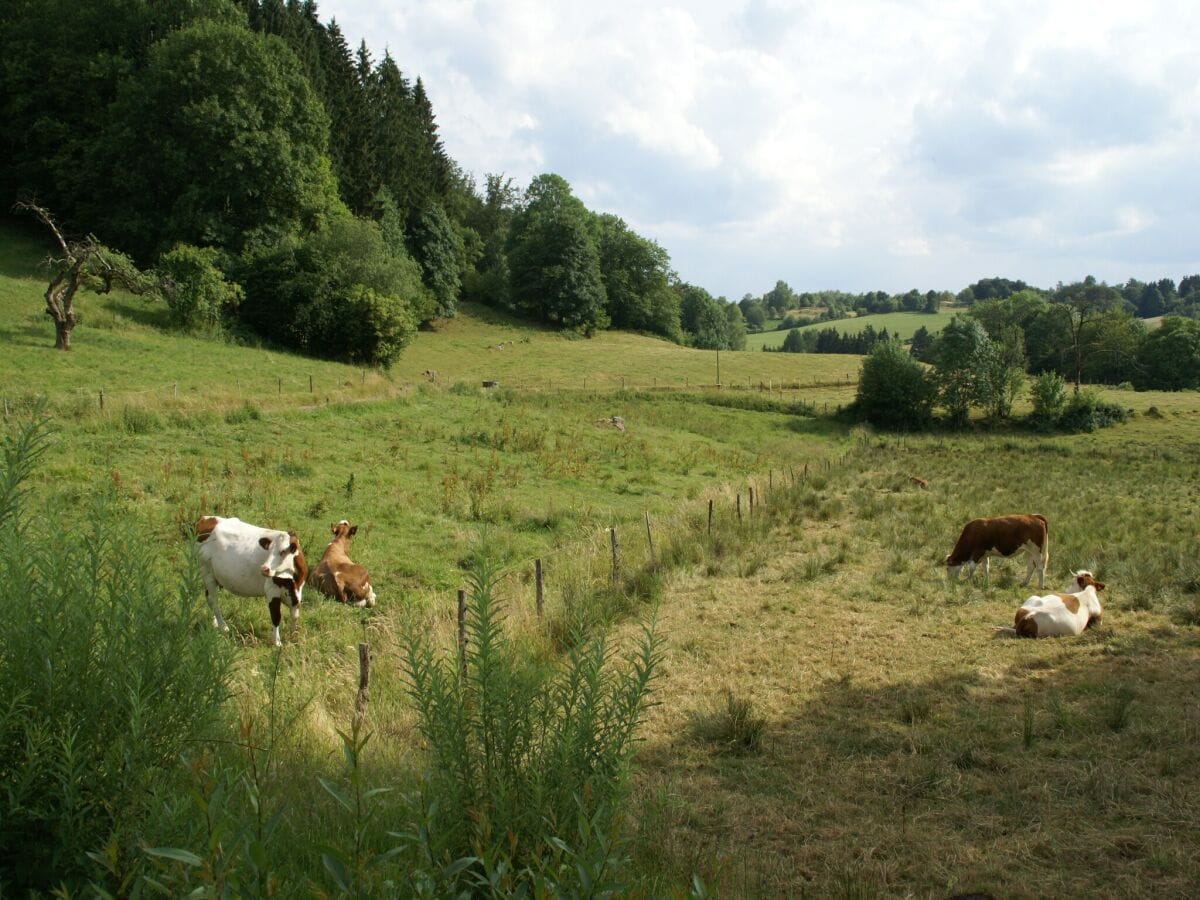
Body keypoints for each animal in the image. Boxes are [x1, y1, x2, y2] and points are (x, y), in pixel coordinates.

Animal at [190, 513, 304, 648]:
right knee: (213, 600)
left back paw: (214, 623)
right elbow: (276, 617)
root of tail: (206, 518)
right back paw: (223, 627)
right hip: (206, 572)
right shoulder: (272, 591)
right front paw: (277, 642)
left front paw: (294, 636)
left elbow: (295, 615)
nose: (264, 568)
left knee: (208, 597)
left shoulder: (297, 593)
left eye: (282, 552)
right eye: (269, 550)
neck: (293, 581)